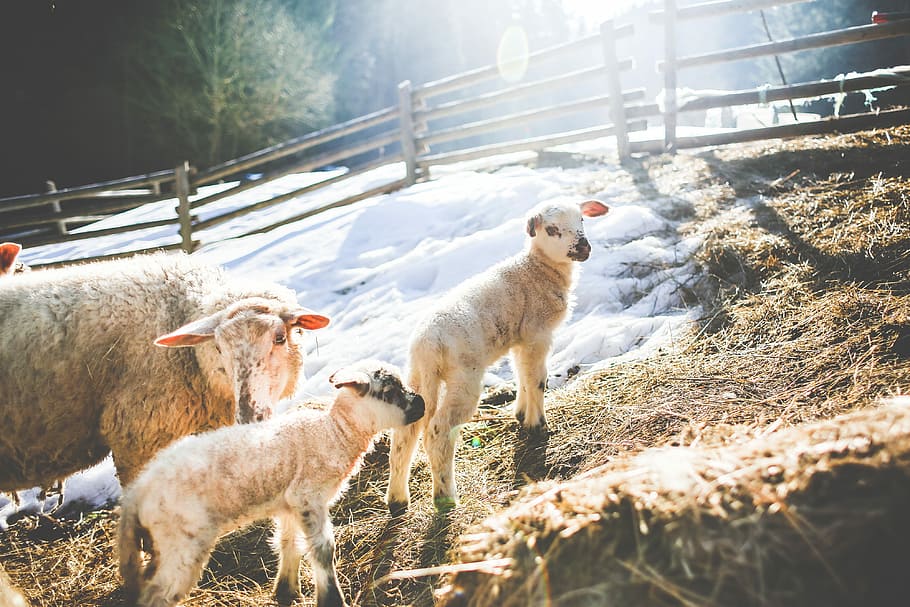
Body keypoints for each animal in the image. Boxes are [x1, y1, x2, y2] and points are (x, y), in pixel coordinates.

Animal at [118, 359, 425, 607]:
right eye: (389, 392)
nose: (421, 403)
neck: (334, 432)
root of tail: (138, 492)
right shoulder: (307, 497)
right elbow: (323, 551)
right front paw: (331, 599)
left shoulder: (290, 503)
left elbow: (289, 543)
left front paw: (286, 591)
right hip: (180, 542)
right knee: (158, 593)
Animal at [386, 198, 610, 513]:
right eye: (551, 229)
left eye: (582, 219)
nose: (584, 247)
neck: (537, 270)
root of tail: (426, 343)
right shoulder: (537, 333)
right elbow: (537, 379)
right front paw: (538, 425)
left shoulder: (521, 338)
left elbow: (521, 375)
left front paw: (521, 414)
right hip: (464, 376)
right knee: (438, 431)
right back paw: (445, 496)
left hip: (418, 376)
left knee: (405, 435)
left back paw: (397, 499)